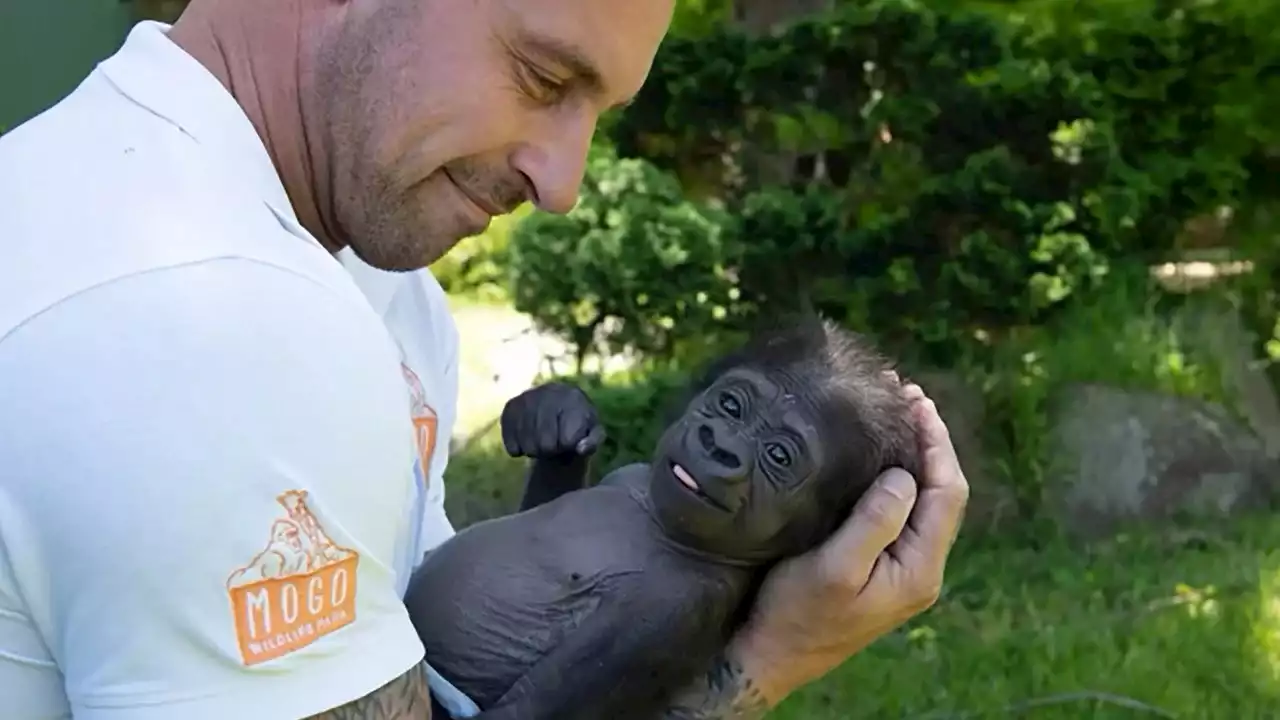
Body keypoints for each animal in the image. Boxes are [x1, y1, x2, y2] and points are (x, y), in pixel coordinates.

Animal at [404, 319, 916, 717]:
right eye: (732, 406)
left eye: (778, 456)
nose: (719, 446)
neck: (662, 525)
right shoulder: (632, 477)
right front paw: (556, 421)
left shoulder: (676, 606)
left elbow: (526, 711)